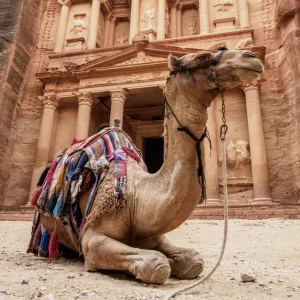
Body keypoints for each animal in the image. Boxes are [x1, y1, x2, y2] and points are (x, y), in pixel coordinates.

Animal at [36, 48, 264, 284]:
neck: (137, 195)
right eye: (202, 56)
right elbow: (156, 263)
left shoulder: (153, 234)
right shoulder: (92, 238)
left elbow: (193, 260)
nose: (251, 56)